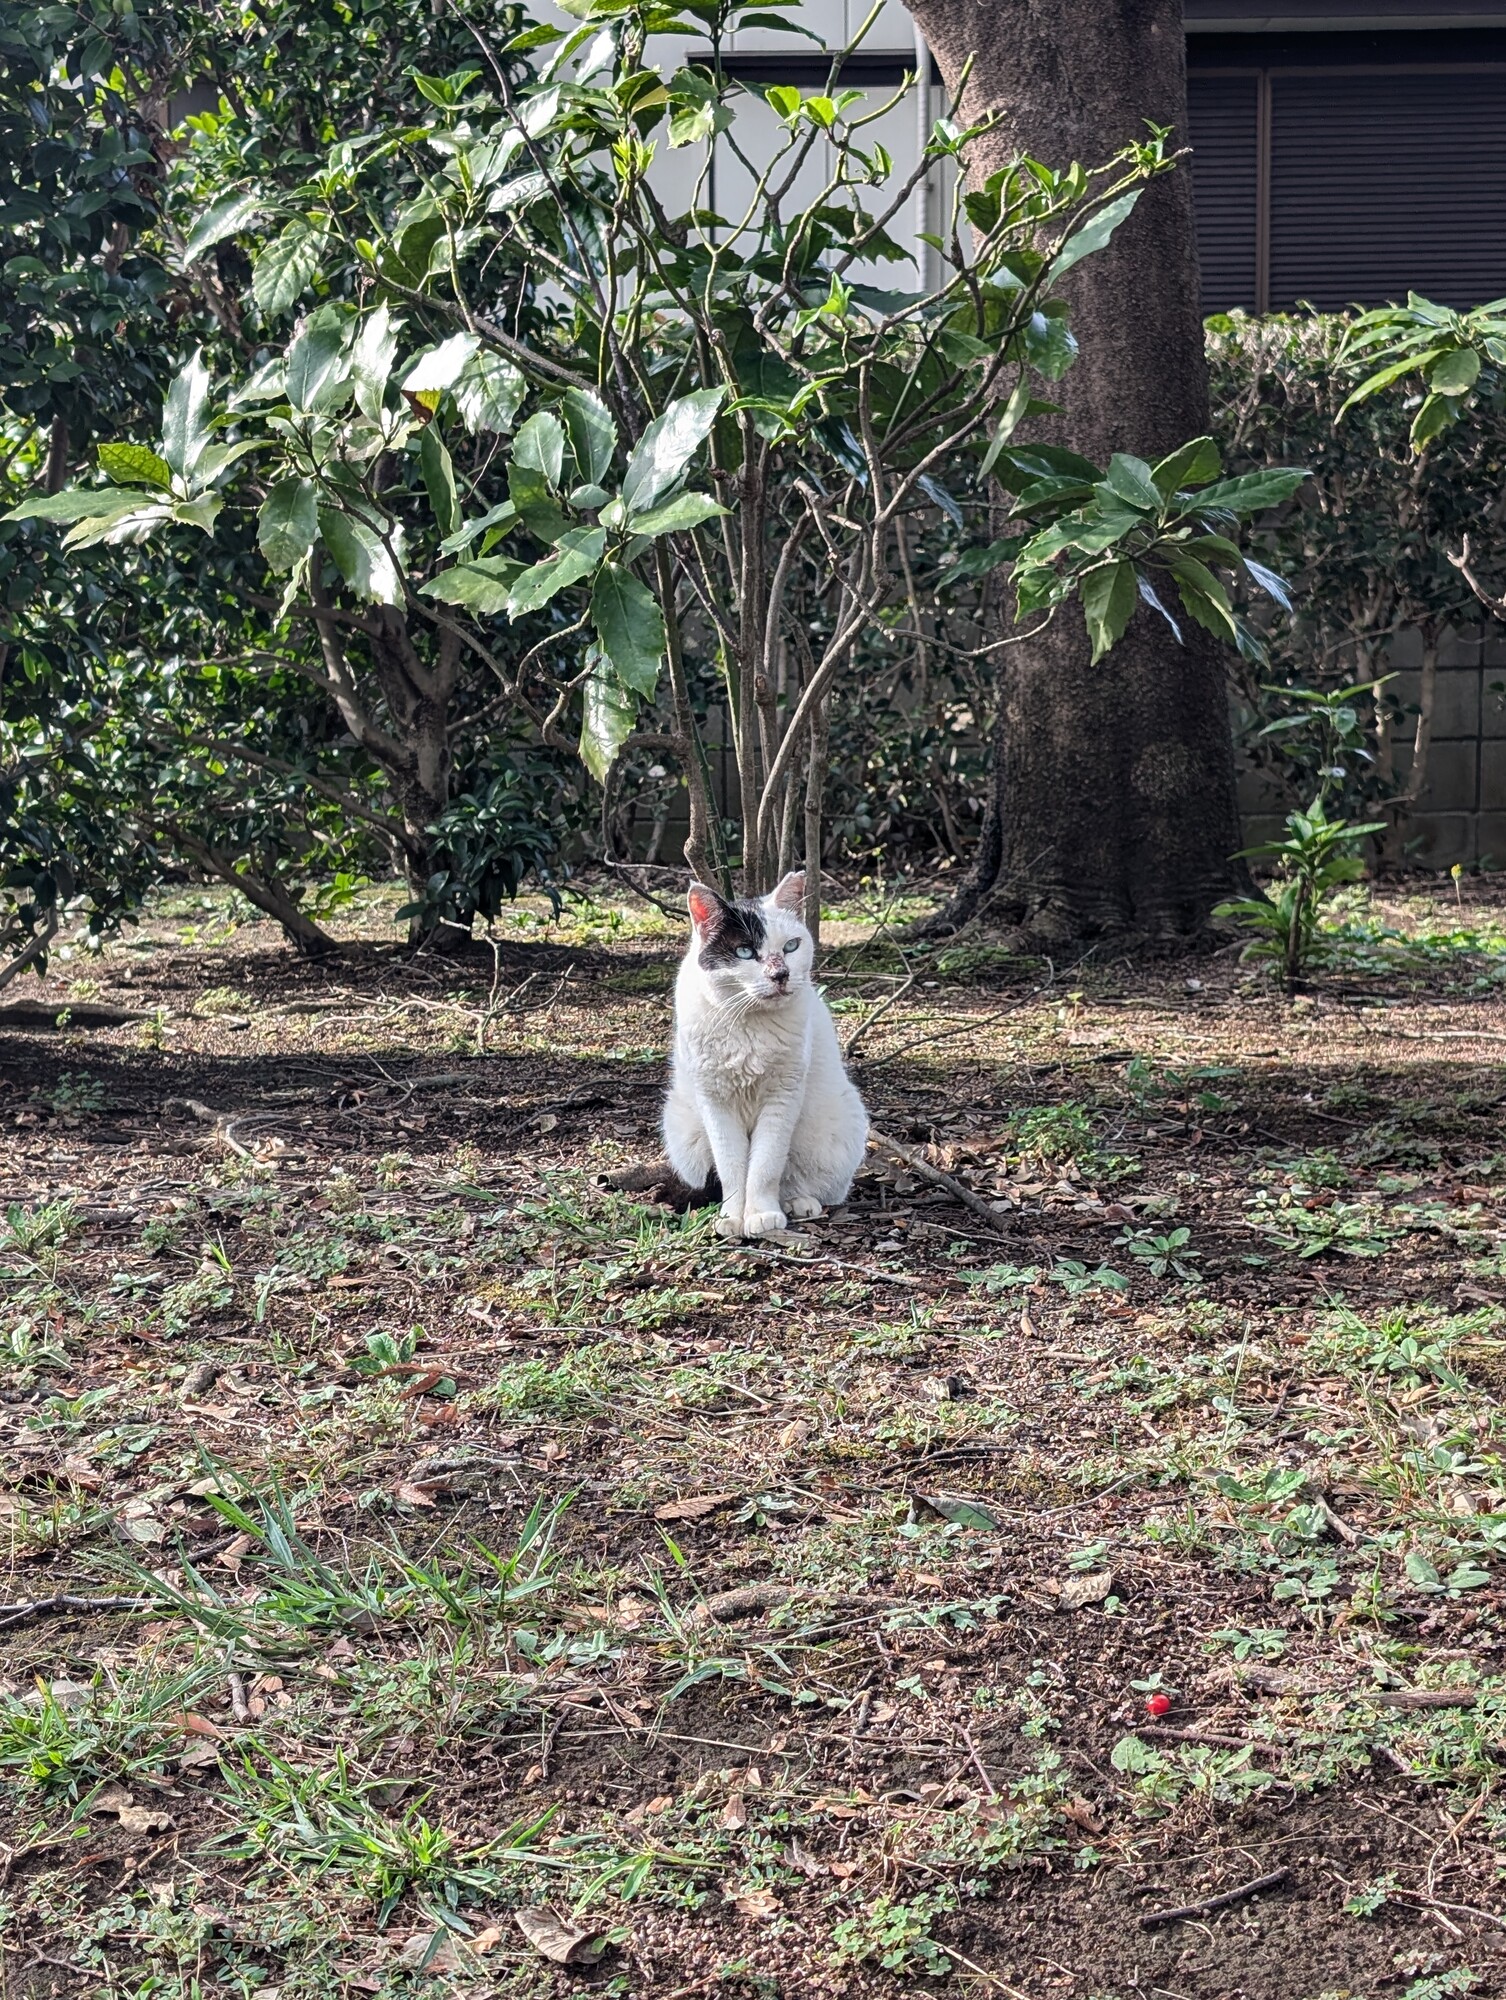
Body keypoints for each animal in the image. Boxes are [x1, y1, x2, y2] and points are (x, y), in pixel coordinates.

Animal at [662, 869, 870, 1239]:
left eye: (791, 946)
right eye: (745, 951)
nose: (780, 974)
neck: (749, 1025)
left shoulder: (782, 1096)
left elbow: (765, 1164)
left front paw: (761, 1214)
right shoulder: (715, 1100)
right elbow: (731, 1165)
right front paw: (732, 1217)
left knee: (797, 1180)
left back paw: (798, 1203)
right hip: (681, 1127)